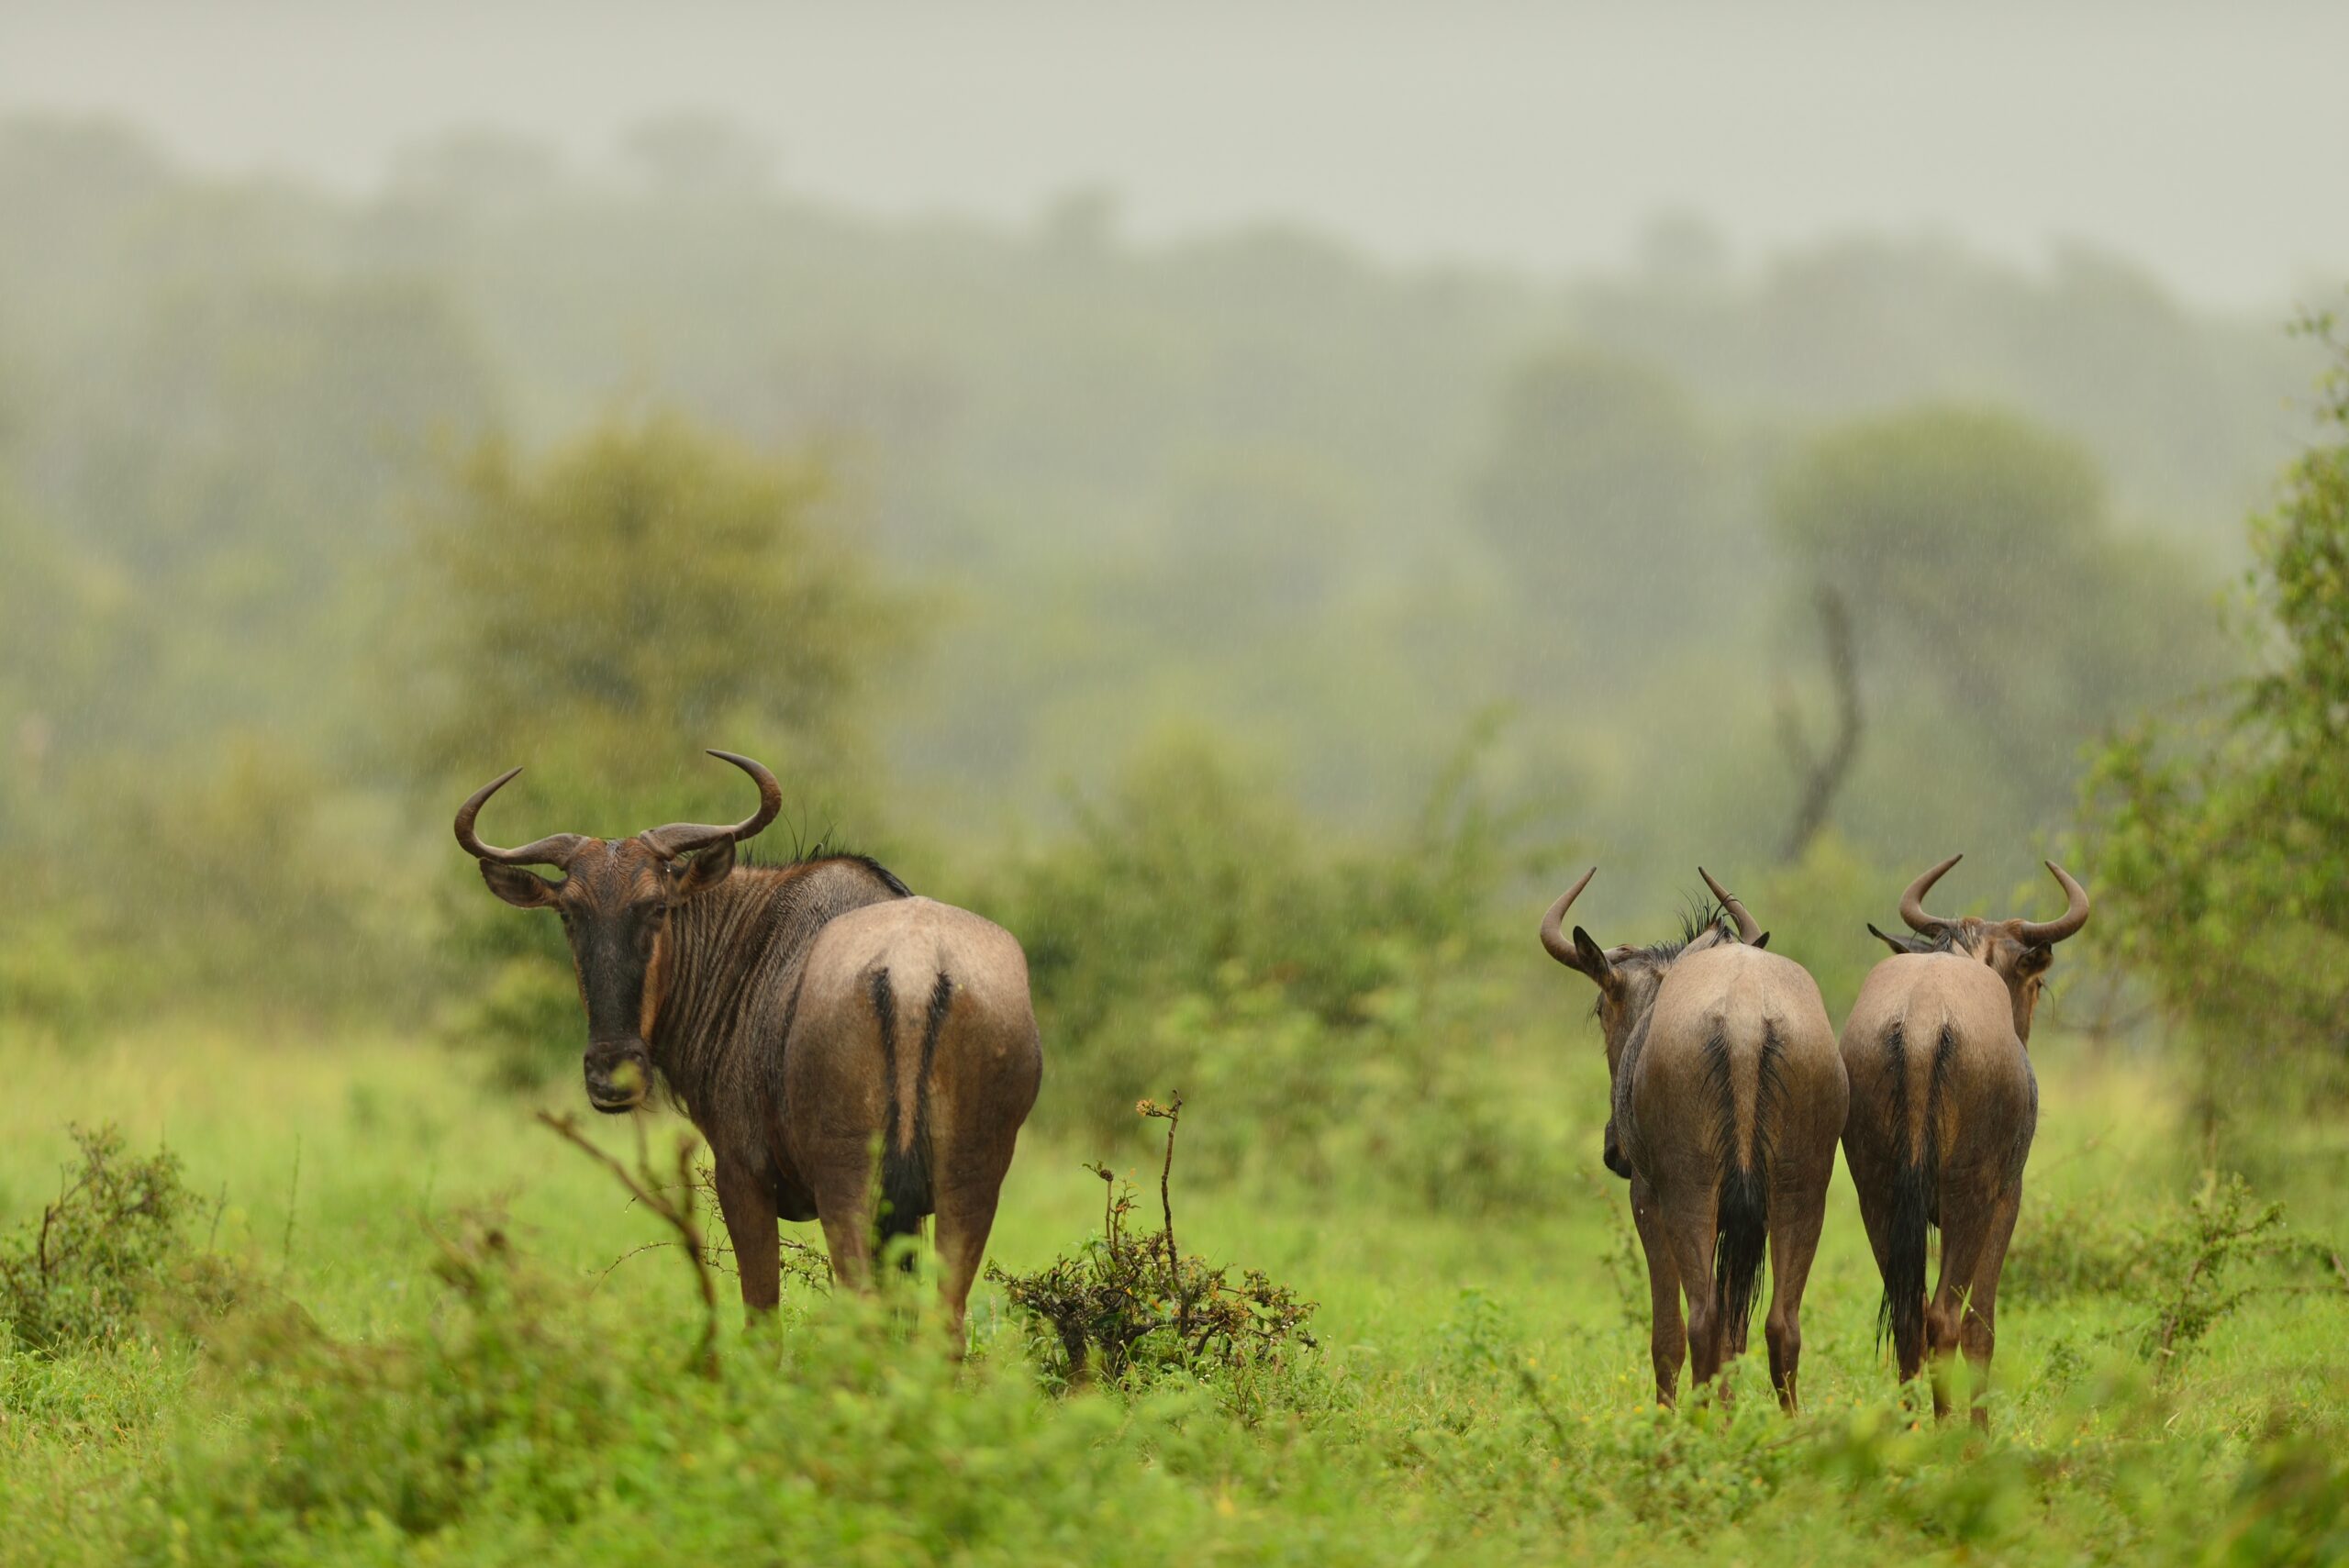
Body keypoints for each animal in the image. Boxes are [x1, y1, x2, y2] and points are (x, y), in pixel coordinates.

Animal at [455, 750, 1043, 1343]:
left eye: (656, 907)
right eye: (568, 912)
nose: (611, 1074)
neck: (746, 945)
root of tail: (913, 969)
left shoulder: (741, 1177)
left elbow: (763, 1321)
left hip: (851, 1189)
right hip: (966, 1191)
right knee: (943, 1326)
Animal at [1541, 869, 1847, 1409]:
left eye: (1600, 1010)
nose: (1613, 1150)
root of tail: (1745, 1016)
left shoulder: (1647, 1199)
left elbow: (1668, 1334)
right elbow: (1735, 1338)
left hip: (1692, 1192)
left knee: (1702, 1322)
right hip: (1802, 1191)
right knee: (1780, 1326)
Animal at [1842, 855, 2089, 1423]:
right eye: (2035, 985)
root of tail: (1921, 1022)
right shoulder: (2006, 1199)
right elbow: (1983, 1325)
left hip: (1877, 1198)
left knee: (1909, 1316)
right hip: (1966, 1201)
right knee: (1944, 1318)